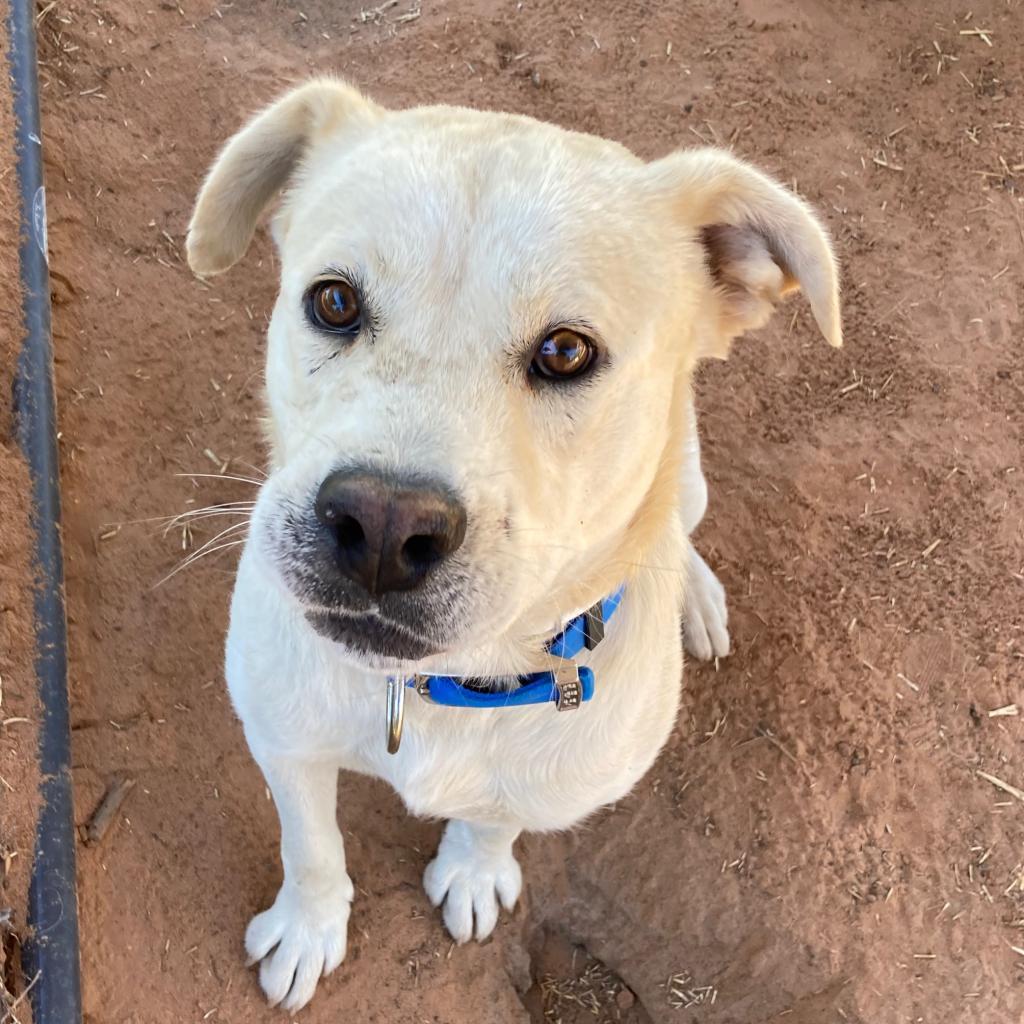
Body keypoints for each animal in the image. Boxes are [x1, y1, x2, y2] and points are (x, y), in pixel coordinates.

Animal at [184, 77, 839, 1007]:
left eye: (566, 351)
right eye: (333, 301)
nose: (381, 524)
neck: (437, 688)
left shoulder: (545, 781)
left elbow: (497, 820)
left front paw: (472, 870)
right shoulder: (282, 736)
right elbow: (311, 847)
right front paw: (308, 929)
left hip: (690, 473)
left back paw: (697, 598)